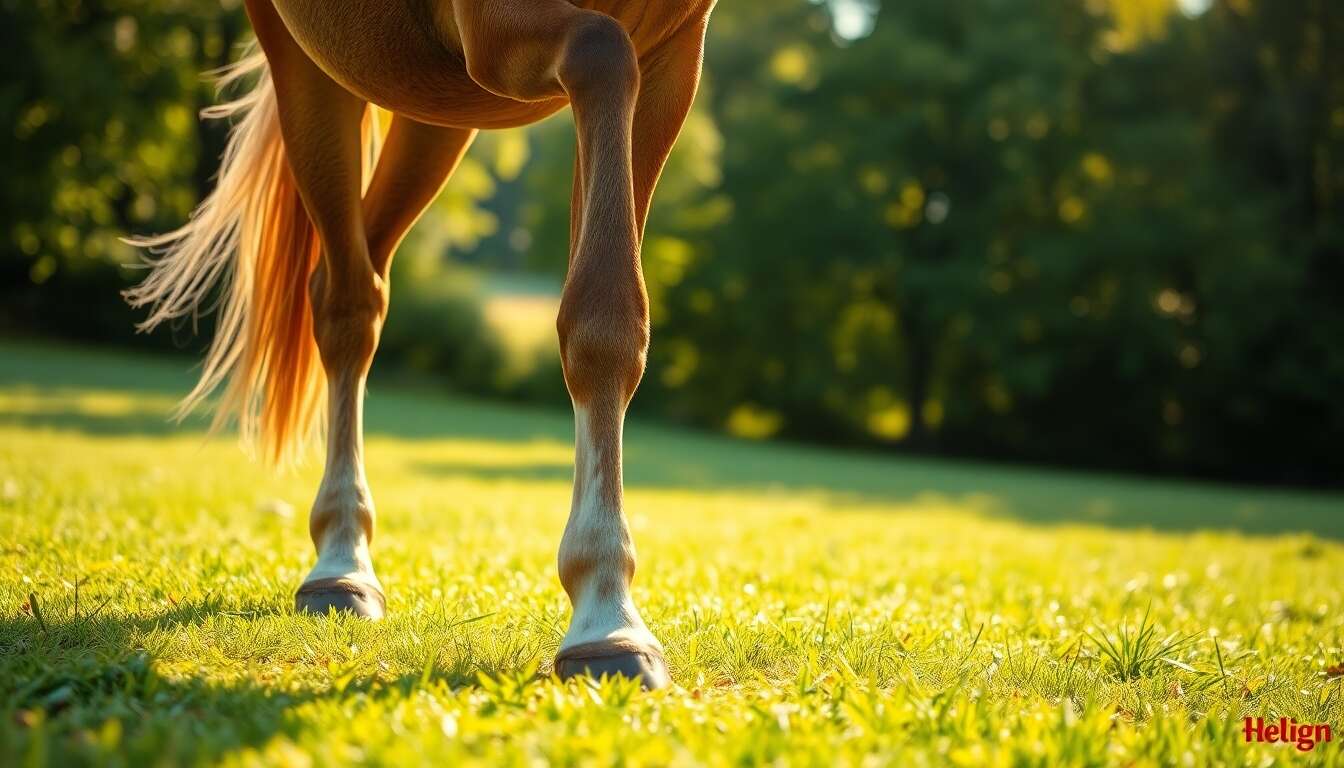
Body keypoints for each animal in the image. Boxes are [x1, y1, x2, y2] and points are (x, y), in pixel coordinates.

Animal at [125, 0, 717, 690]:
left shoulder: (670, 62)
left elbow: (609, 311)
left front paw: (608, 606)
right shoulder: (515, 36)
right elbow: (602, 55)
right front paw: (605, 616)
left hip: (429, 106)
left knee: (360, 284)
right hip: (316, 70)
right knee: (347, 303)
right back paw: (341, 560)